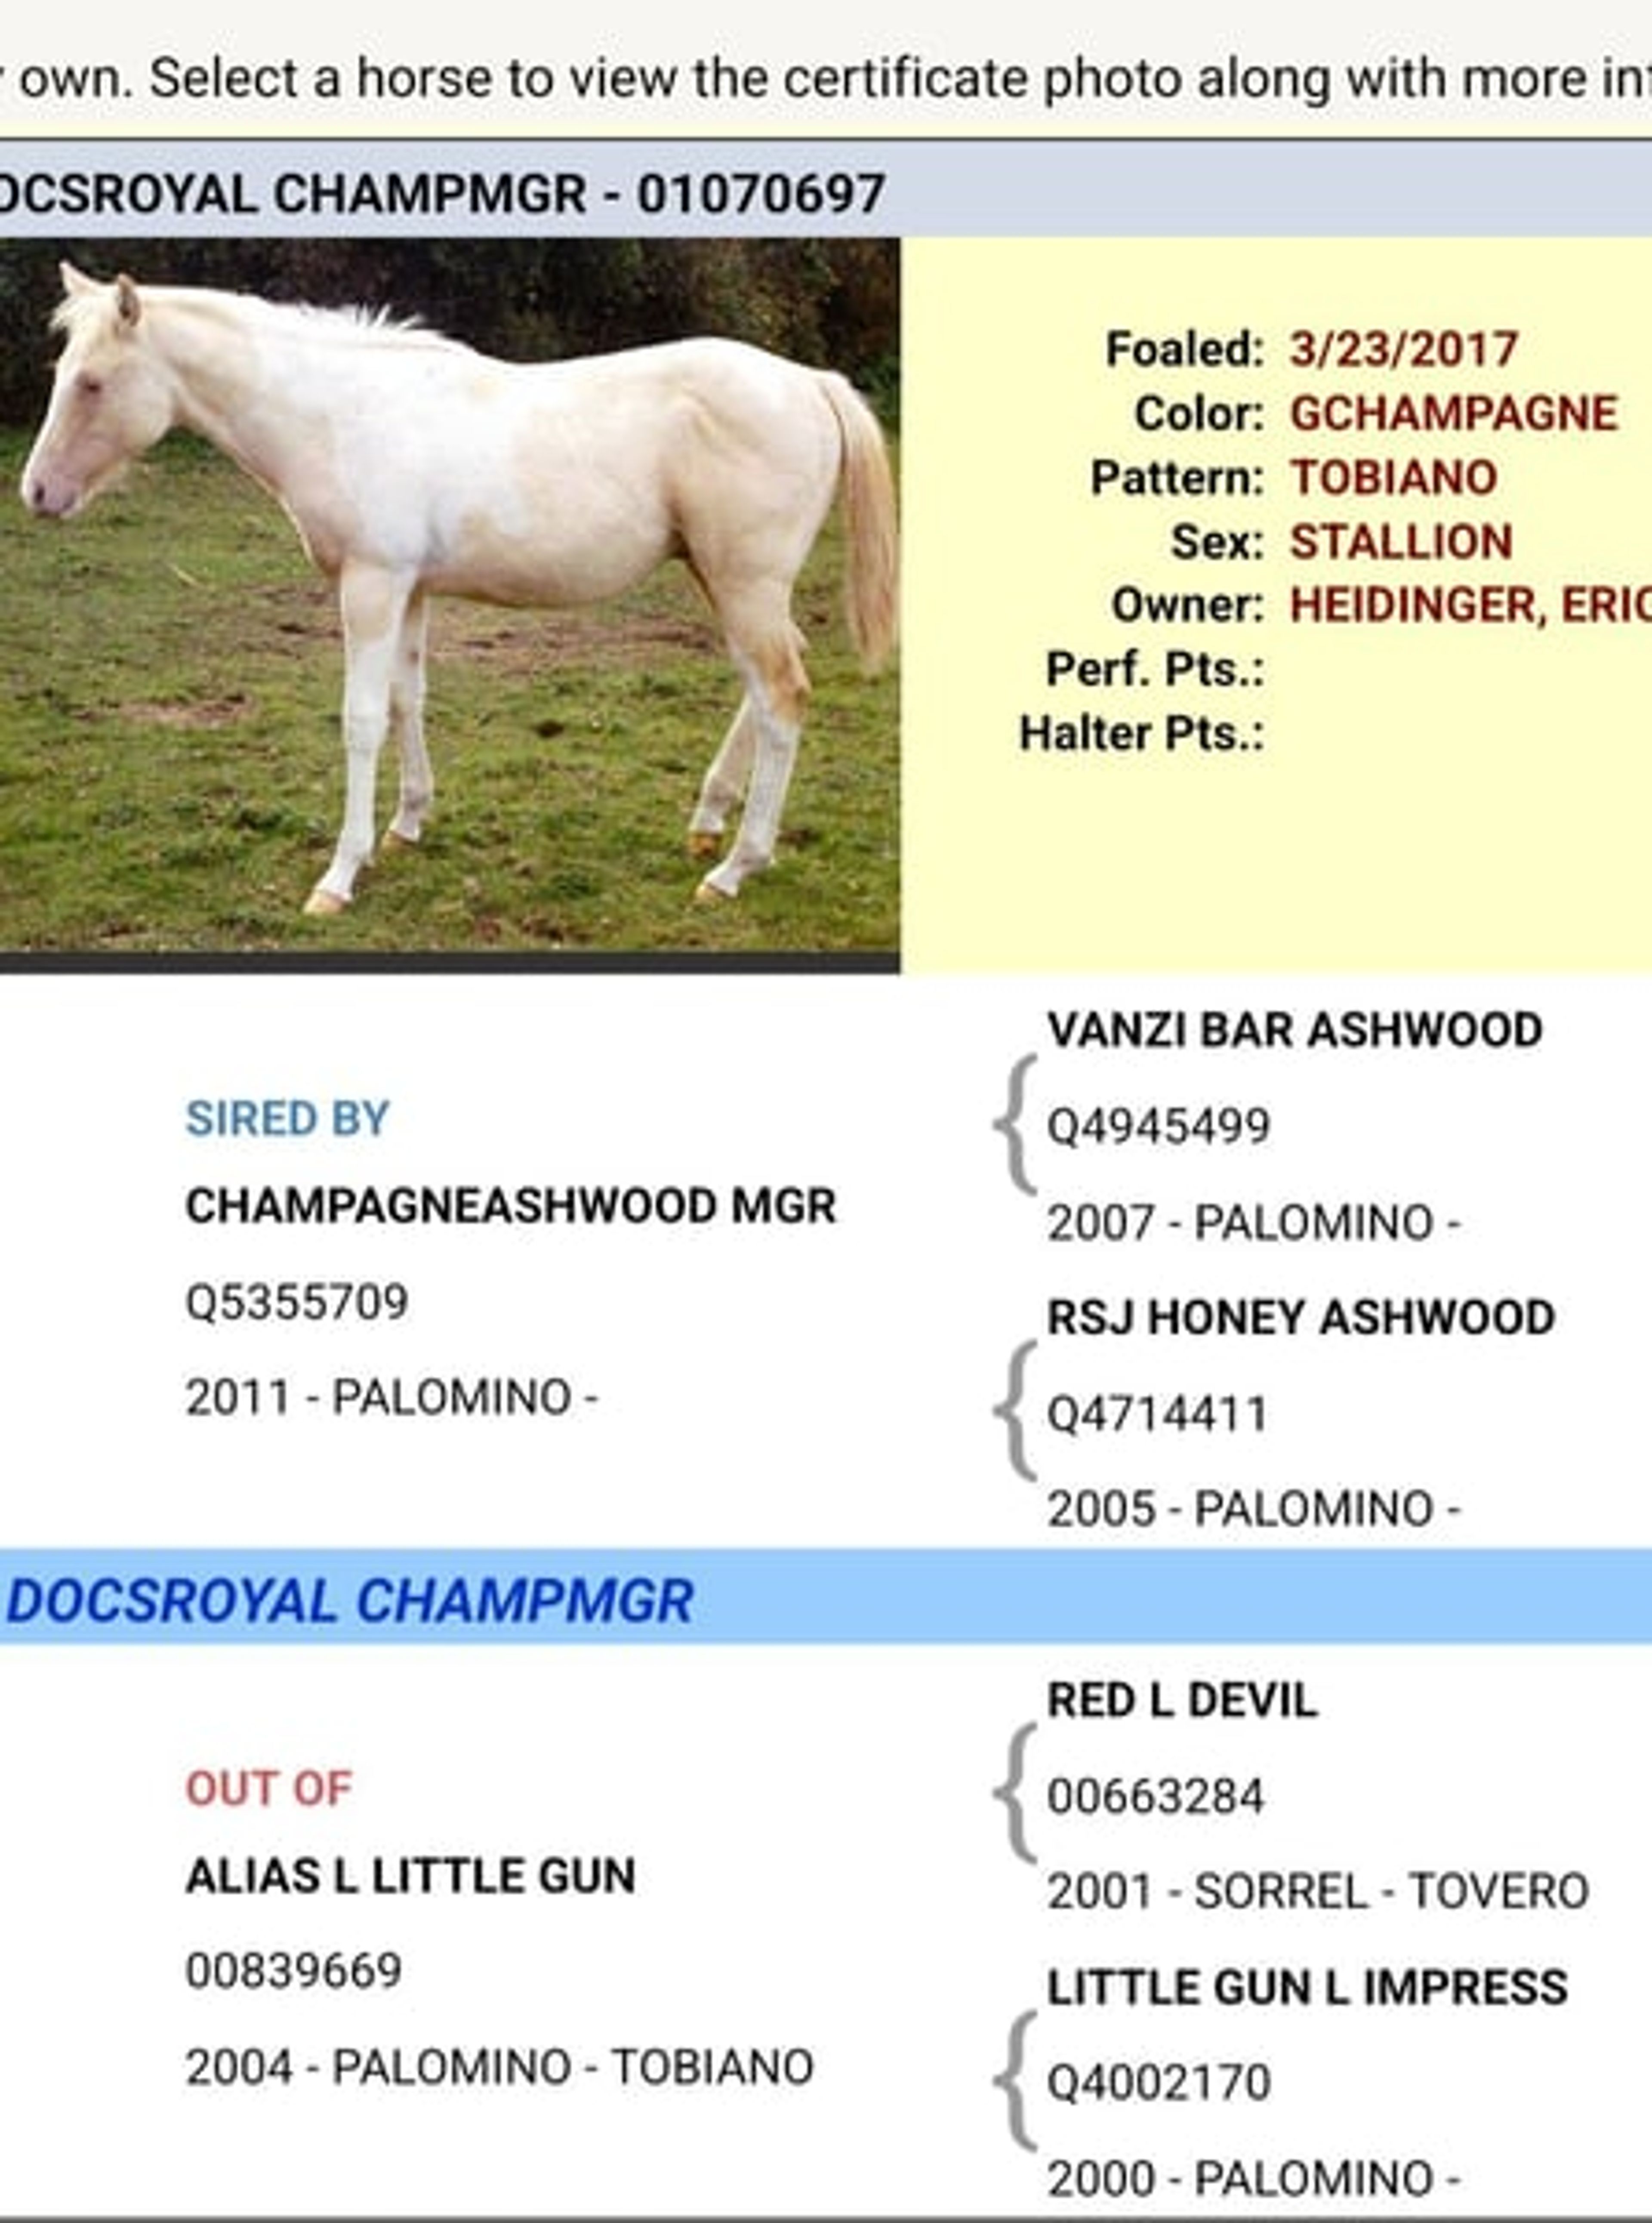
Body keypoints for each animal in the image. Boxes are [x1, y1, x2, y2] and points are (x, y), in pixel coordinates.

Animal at [20, 263, 898, 917]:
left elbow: (362, 720)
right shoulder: (409, 588)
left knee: (783, 695)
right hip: (732, 582)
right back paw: (708, 822)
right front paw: (407, 825)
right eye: (64, 374)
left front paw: (340, 874)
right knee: (766, 686)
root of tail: (812, 383)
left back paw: (736, 866)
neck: (344, 413)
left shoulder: (371, 585)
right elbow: (409, 698)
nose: (36, 492)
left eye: (92, 383)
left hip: (744, 584)